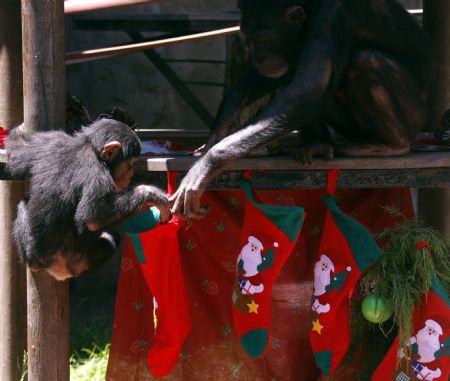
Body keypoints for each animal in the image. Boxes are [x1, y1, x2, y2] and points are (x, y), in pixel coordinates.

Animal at [7, 118, 170, 280]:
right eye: (130, 164)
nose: (131, 175)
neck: (90, 147)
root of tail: (59, 271)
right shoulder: (96, 173)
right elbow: (93, 217)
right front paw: (151, 193)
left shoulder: (50, 142)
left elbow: (17, 151)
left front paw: (20, 129)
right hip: (77, 261)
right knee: (111, 237)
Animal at [170, 0, 432, 218]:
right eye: (250, 39)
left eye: (262, 40)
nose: (258, 57)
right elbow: (289, 82)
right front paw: (224, 120)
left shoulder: (332, 14)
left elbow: (309, 89)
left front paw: (206, 165)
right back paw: (318, 145)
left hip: (414, 116)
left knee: (363, 60)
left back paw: (390, 145)